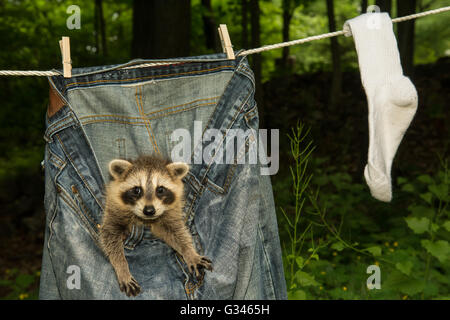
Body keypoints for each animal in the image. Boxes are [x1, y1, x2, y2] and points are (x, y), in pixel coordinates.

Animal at [99, 155, 212, 298]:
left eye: (160, 189)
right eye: (137, 190)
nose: (149, 211)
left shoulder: (171, 213)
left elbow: (177, 233)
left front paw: (189, 252)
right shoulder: (115, 207)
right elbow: (109, 235)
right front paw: (121, 267)